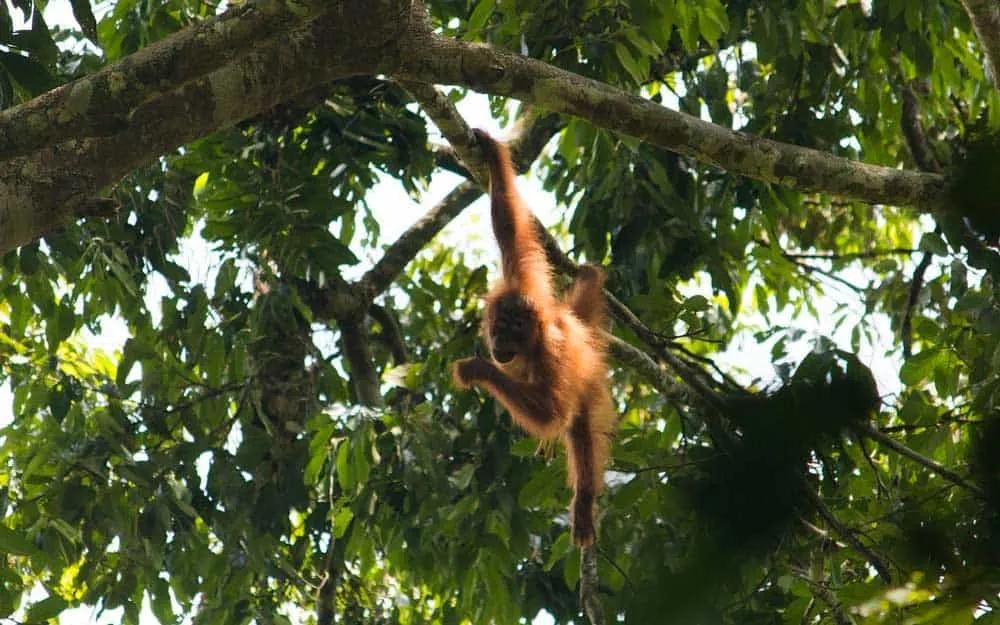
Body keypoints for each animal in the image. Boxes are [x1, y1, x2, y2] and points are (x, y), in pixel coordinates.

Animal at [452, 129, 615, 547]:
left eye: (515, 333)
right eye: (498, 328)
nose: (499, 347)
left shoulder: (551, 355)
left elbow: (550, 412)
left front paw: (476, 368)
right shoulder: (522, 282)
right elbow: (509, 225)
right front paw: (492, 154)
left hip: (587, 384)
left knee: (580, 432)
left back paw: (584, 501)